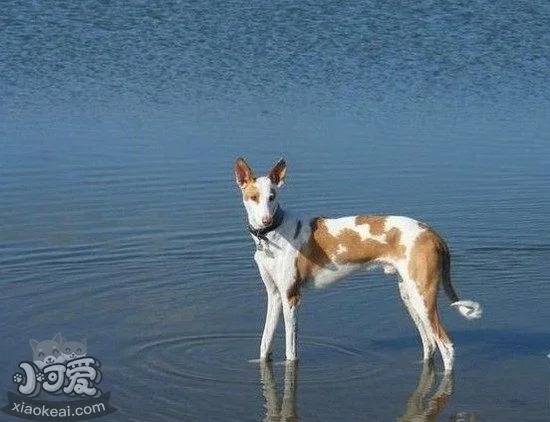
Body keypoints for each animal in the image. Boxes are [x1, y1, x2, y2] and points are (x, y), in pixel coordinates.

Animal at [237, 157, 484, 370]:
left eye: (272, 196)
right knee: (430, 344)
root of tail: (432, 233)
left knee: (447, 346)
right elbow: (264, 343)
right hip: (409, 296)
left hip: (423, 298)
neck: (273, 235)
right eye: (254, 197)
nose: (265, 220)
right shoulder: (275, 296)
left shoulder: (291, 298)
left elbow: (290, 352)